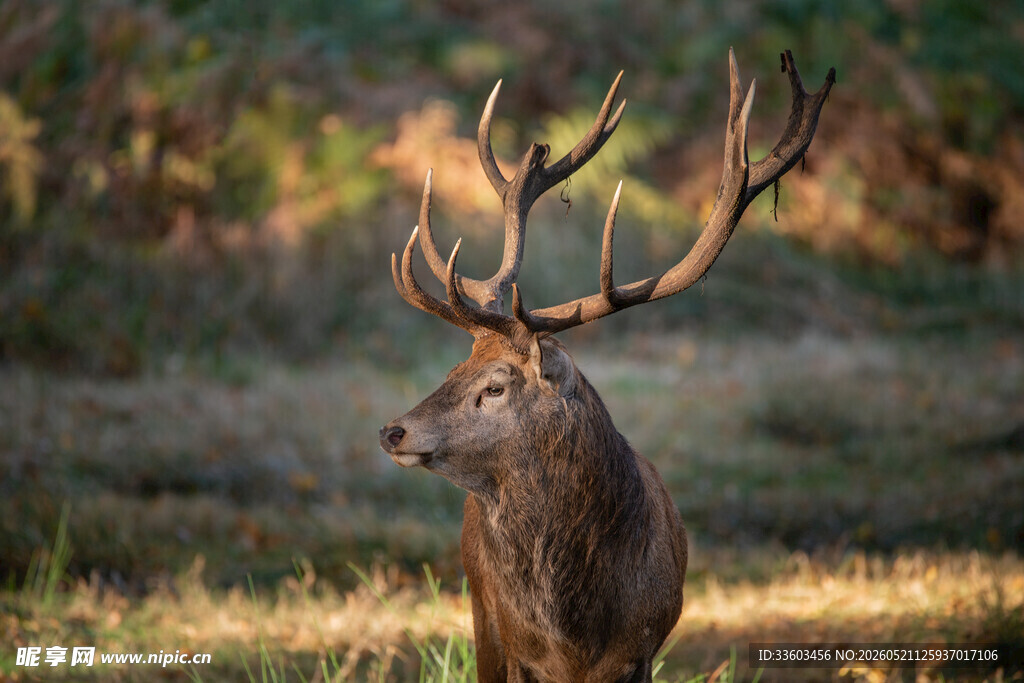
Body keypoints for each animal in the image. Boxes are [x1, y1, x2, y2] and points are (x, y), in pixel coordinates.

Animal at [379, 50, 835, 683]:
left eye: (494, 387)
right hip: (480, 619)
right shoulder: (510, 646)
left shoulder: (641, 646)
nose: (393, 430)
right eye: (451, 371)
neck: (575, 635)